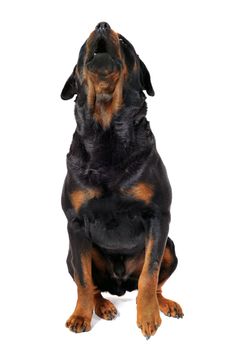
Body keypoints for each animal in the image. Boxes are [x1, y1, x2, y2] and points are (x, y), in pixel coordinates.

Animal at [60, 22, 182, 340]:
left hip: (171, 247)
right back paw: (102, 306)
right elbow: (83, 280)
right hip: (71, 252)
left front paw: (149, 317)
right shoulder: (75, 223)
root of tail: (119, 285)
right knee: (92, 284)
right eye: (83, 44)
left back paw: (165, 304)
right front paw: (81, 315)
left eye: (124, 42)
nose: (102, 25)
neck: (107, 132)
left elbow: (150, 274)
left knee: (151, 283)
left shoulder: (158, 218)